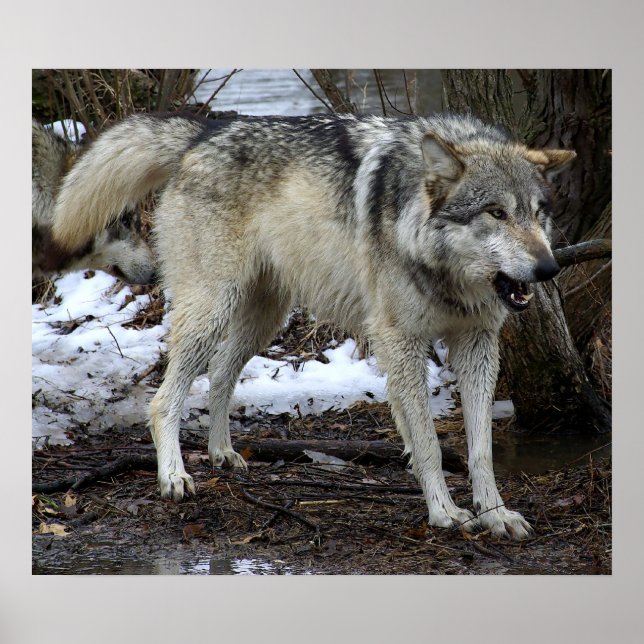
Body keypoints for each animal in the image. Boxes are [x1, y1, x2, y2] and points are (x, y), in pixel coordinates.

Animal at [52, 112, 575, 540]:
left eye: (537, 212)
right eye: (496, 213)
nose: (549, 269)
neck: (444, 268)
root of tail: (206, 131)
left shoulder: (476, 343)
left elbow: (480, 447)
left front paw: (495, 514)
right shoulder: (400, 341)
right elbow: (429, 442)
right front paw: (445, 512)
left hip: (262, 319)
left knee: (219, 376)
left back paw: (223, 453)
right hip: (212, 310)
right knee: (164, 400)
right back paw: (175, 477)